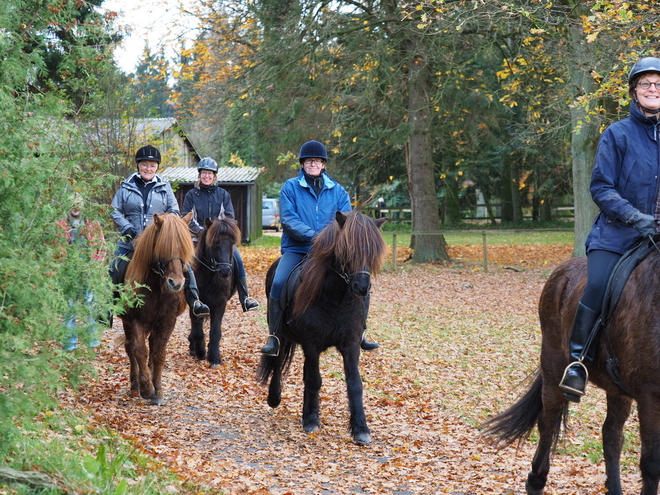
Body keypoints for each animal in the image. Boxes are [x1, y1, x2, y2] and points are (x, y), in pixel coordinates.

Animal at [120, 213, 193, 406]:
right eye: (162, 248)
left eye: (184, 249)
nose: (176, 283)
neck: (157, 288)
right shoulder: (137, 320)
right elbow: (139, 351)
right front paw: (146, 388)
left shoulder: (167, 322)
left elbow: (158, 354)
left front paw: (158, 392)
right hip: (127, 322)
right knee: (131, 348)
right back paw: (135, 387)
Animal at [188, 217, 240, 368]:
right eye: (215, 243)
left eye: (232, 243)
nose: (225, 272)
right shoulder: (195, 303)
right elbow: (197, 331)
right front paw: (200, 351)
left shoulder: (219, 303)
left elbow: (215, 331)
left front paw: (215, 358)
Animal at [254, 209, 386, 446]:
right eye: (347, 249)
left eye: (372, 252)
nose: (362, 287)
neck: (336, 298)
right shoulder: (312, 344)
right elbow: (314, 380)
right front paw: (311, 421)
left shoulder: (351, 344)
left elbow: (354, 383)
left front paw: (360, 429)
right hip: (281, 336)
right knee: (278, 360)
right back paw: (274, 398)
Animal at [482, 252, 660, 495]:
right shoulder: (650, 397)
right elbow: (651, 464)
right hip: (553, 365)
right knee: (548, 421)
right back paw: (536, 482)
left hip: (617, 388)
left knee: (612, 435)